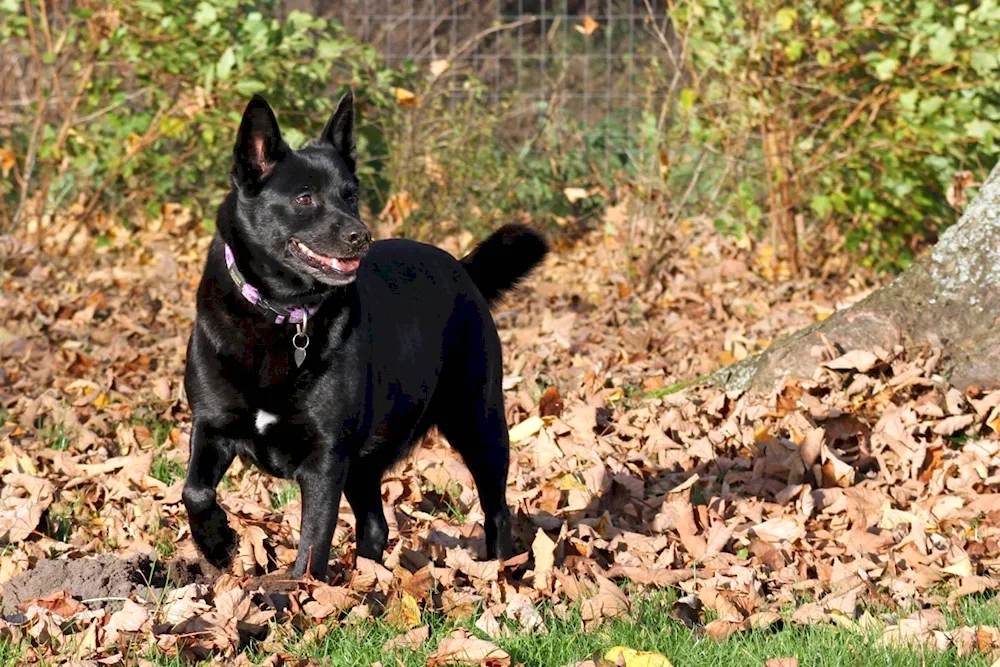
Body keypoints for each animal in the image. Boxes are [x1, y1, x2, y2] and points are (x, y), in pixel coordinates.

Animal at [184, 91, 552, 580]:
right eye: (304, 197)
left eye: (350, 195)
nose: (362, 236)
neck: (283, 313)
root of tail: (462, 269)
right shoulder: (210, 426)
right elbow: (194, 491)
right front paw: (219, 544)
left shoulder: (326, 459)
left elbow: (312, 544)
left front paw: (291, 594)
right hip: (369, 460)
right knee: (376, 525)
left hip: (478, 422)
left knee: (497, 510)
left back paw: (497, 568)